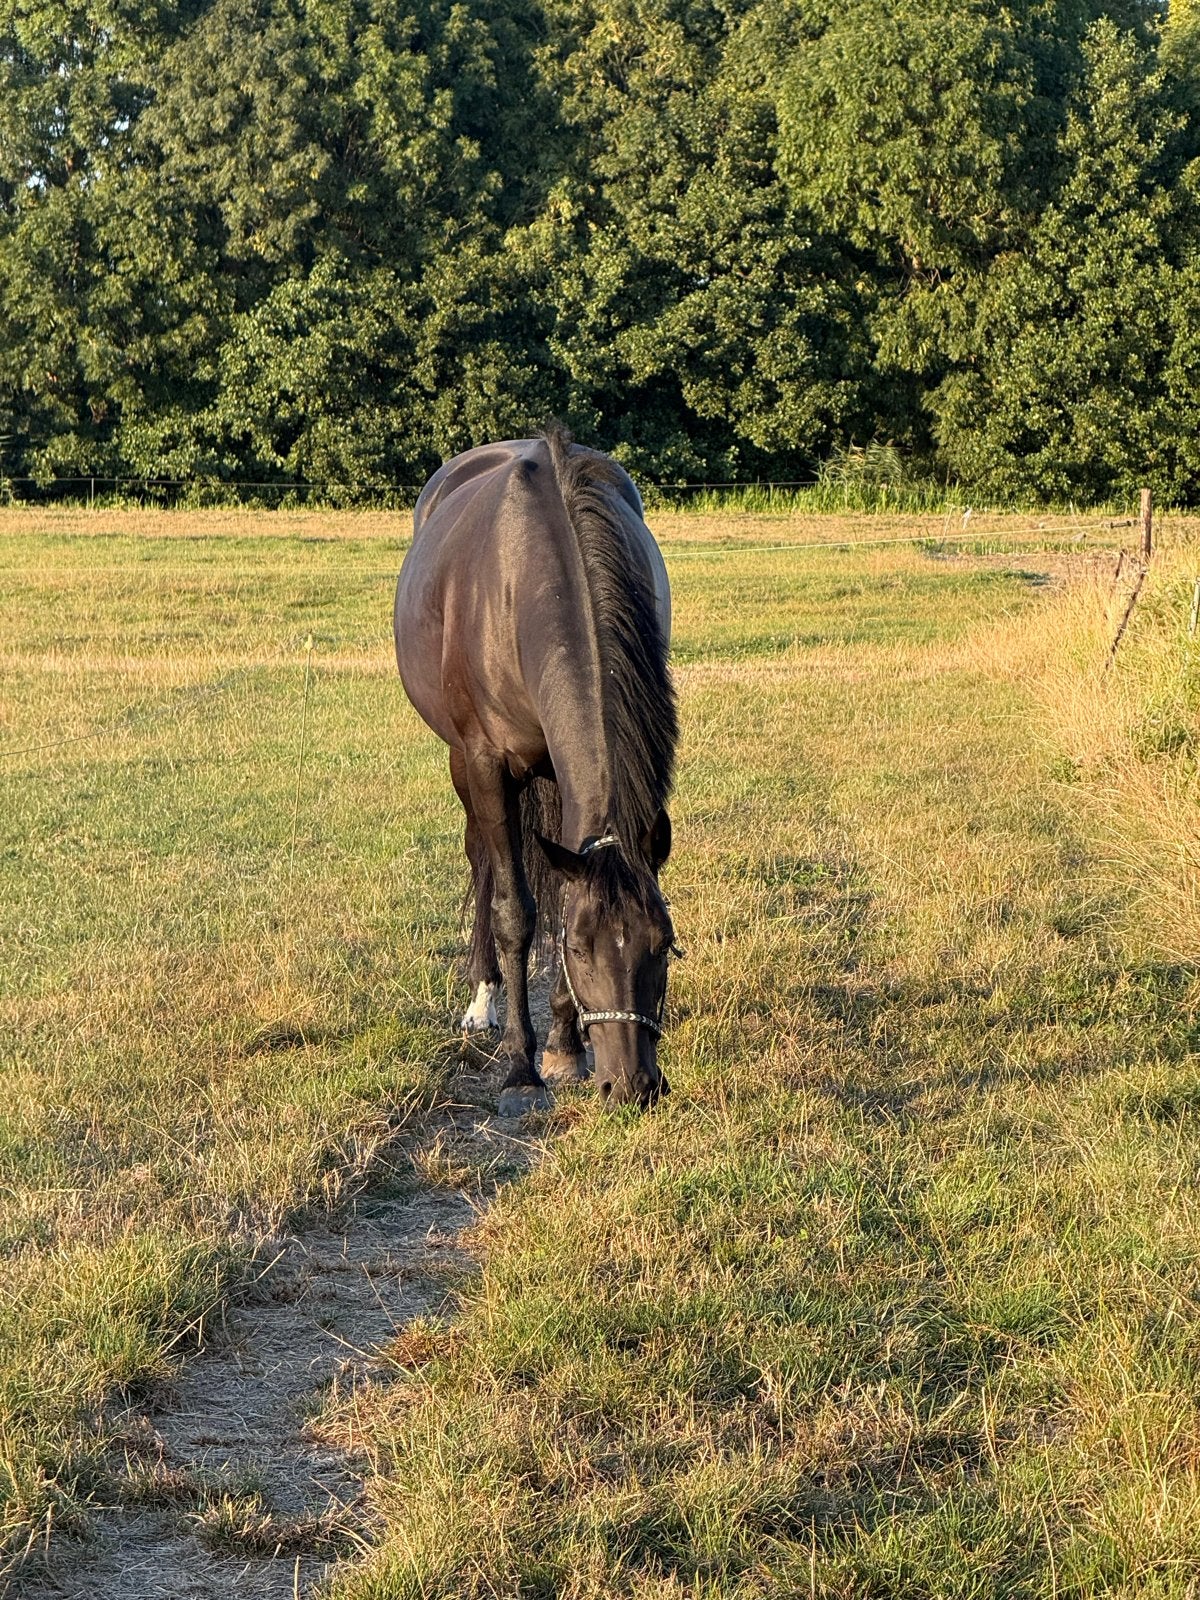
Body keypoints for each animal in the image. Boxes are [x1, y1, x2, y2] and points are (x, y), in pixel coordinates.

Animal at [394, 430, 679, 1115]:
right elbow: (515, 911)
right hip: (462, 766)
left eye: (662, 943)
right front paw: (522, 1065)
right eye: (578, 950)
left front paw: (563, 1046)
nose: (632, 1085)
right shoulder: (486, 764)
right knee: (481, 858)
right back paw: (483, 1001)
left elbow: (557, 894)